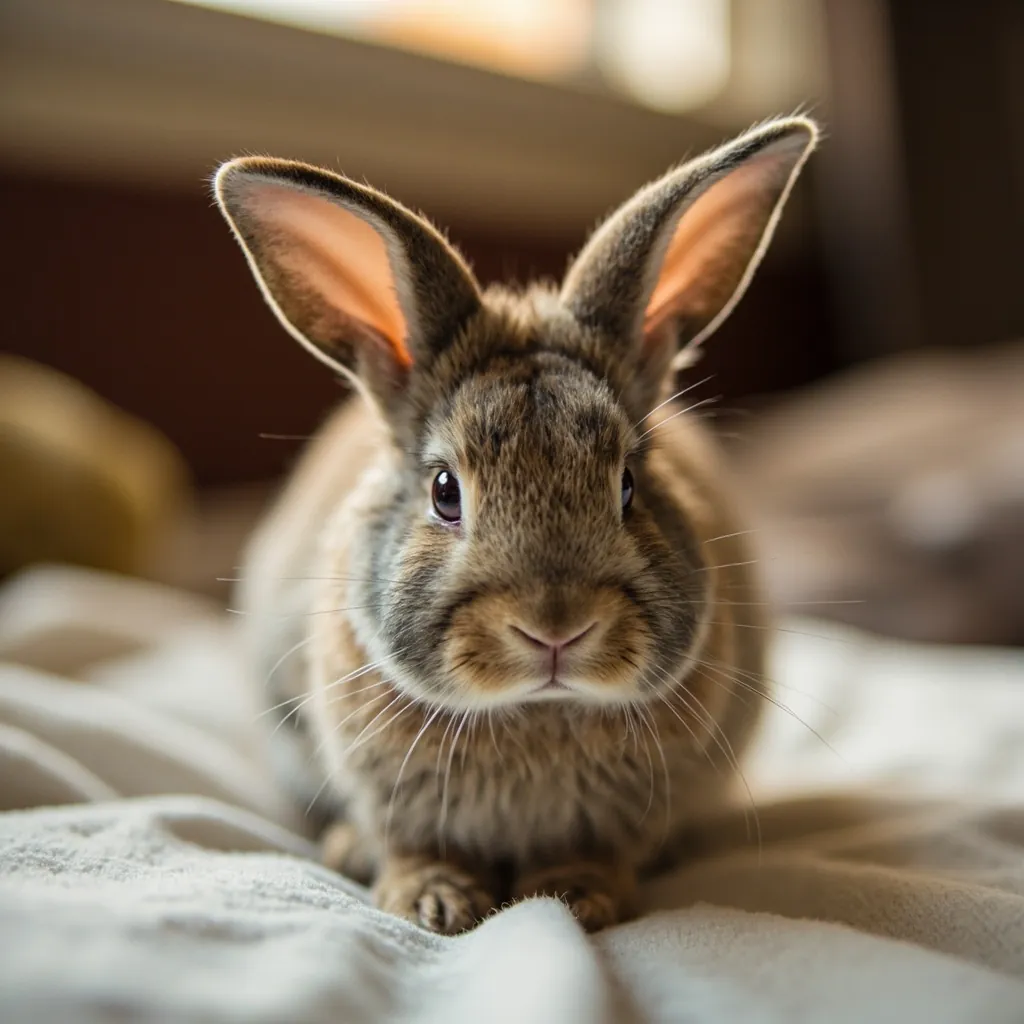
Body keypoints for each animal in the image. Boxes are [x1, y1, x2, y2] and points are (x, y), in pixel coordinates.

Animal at [214, 115, 818, 934]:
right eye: (445, 492)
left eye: (628, 485)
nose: (554, 629)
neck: (534, 710)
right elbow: (409, 844)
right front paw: (433, 903)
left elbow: (598, 853)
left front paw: (575, 896)